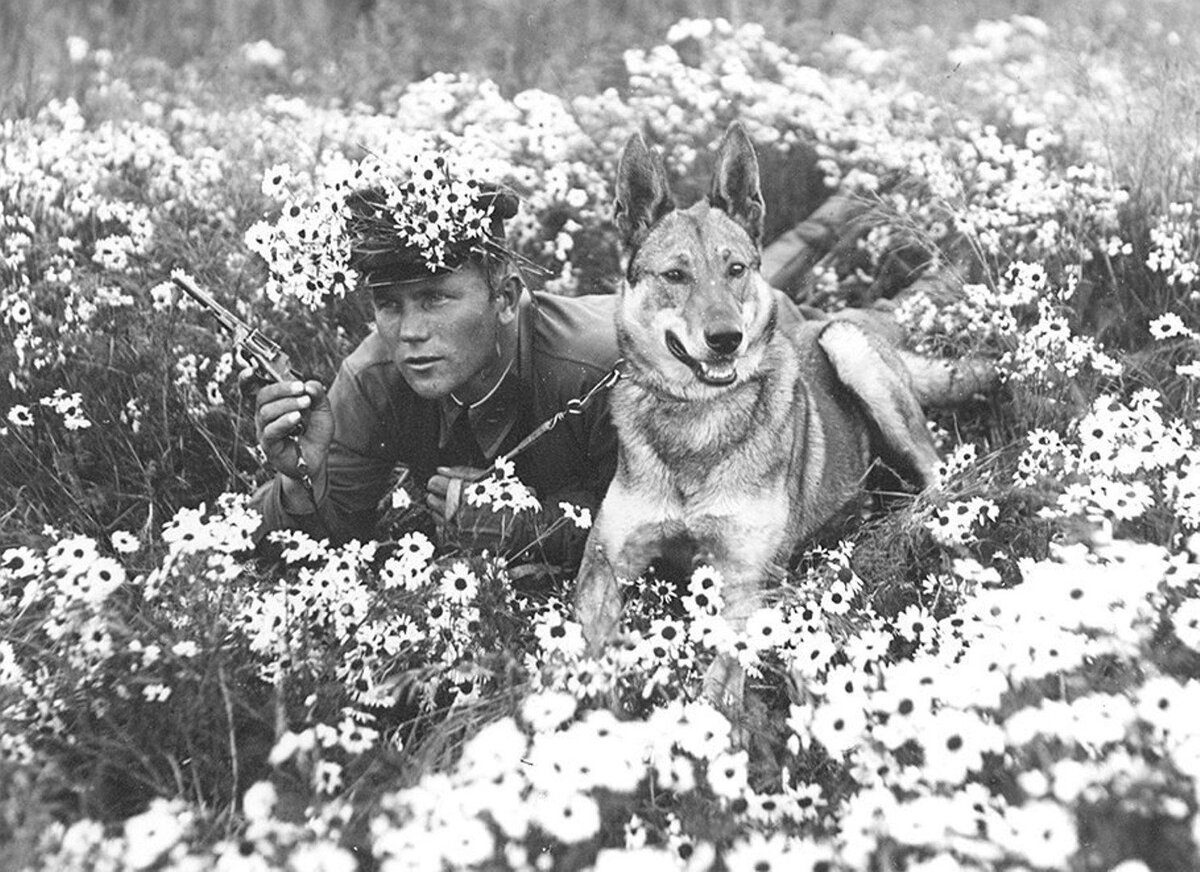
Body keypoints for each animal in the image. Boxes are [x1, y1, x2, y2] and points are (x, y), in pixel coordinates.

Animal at [571, 122, 993, 710]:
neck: (700, 419)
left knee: (937, 475)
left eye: (736, 269)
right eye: (675, 275)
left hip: (850, 350)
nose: (726, 339)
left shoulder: (747, 576)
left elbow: (721, 676)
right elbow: (573, 656)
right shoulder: (605, 564)